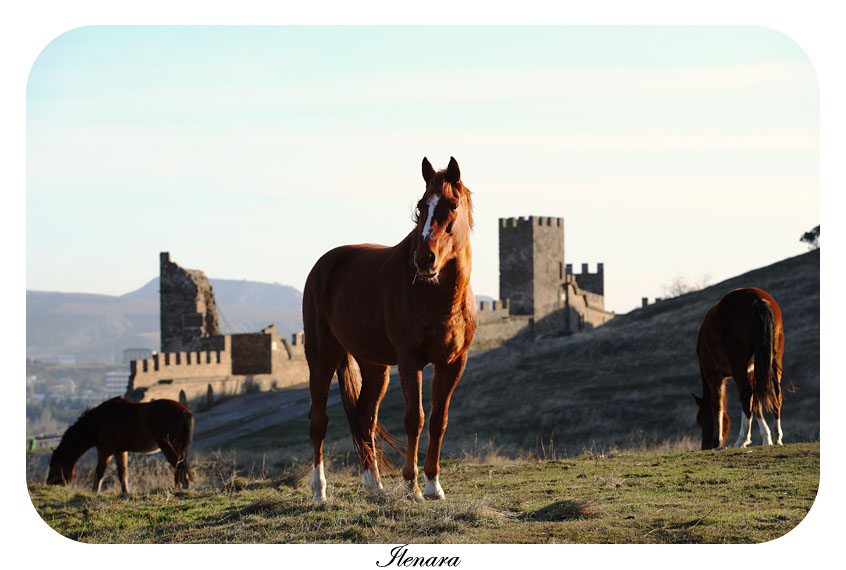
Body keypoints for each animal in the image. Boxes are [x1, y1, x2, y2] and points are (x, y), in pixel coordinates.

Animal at [46, 394, 195, 492]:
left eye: (55, 465)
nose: (49, 484)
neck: (97, 422)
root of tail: (183, 410)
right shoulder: (120, 451)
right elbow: (122, 473)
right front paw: (125, 492)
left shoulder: (105, 450)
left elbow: (99, 472)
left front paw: (95, 491)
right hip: (178, 446)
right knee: (181, 465)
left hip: (168, 446)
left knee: (179, 465)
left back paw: (180, 487)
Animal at [304, 154, 476, 496]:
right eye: (421, 206)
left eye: (451, 205)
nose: (424, 259)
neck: (440, 299)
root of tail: (323, 265)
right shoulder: (410, 361)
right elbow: (415, 419)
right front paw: (412, 486)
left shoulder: (452, 363)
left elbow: (438, 421)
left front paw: (434, 485)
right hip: (322, 356)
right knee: (319, 421)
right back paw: (319, 491)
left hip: (374, 366)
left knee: (364, 417)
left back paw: (375, 486)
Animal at [696, 288, 788, 448]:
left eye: (700, 418)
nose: (705, 445)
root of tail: (757, 299)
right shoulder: (751, 371)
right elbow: (756, 404)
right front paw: (767, 438)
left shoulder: (713, 374)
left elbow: (717, 404)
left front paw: (717, 439)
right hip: (775, 359)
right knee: (776, 393)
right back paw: (777, 437)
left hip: (738, 366)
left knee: (746, 394)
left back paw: (741, 439)